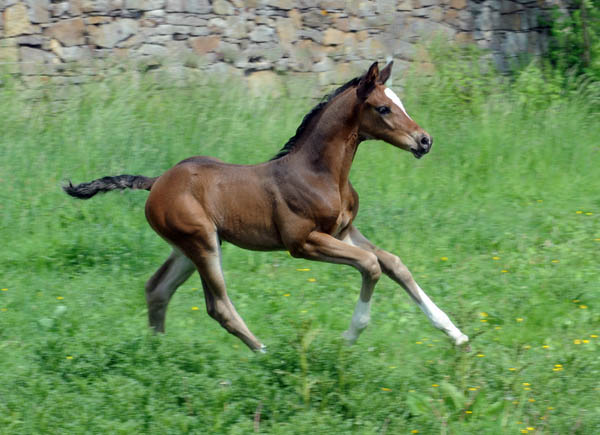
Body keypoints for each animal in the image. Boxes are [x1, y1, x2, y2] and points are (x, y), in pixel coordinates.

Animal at [65, 61, 468, 352]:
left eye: (401, 103)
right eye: (383, 108)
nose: (424, 140)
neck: (321, 173)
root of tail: (157, 181)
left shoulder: (344, 231)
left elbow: (395, 264)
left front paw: (456, 334)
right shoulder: (303, 242)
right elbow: (371, 265)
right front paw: (350, 337)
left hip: (189, 247)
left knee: (157, 289)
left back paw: (157, 354)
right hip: (201, 243)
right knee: (218, 306)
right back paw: (263, 353)